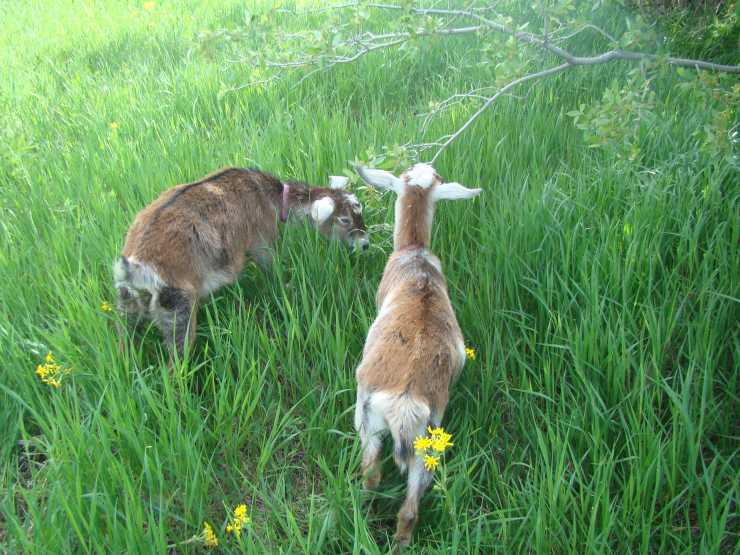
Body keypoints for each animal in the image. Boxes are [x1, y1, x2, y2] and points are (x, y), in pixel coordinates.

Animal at [113, 167, 368, 361]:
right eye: (344, 219)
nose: (365, 244)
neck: (270, 196)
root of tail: (135, 267)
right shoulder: (262, 238)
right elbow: (271, 267)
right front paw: (287, 287)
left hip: (128, 303)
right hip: (177, 305)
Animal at [352, 162, 481, 546]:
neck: (415, 253)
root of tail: (405, 400)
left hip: (367, 421)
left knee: (371, 477)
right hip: (428, 441)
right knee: (409, 507)